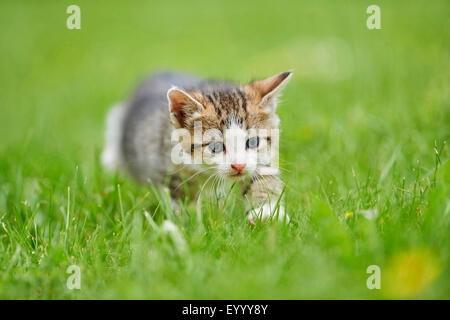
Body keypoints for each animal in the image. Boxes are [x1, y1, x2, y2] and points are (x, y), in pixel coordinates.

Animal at [102, 71, 292, 224]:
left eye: (253, 142)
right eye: (216, 147)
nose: (238, 166)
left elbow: (262, 176)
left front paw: (266, 212)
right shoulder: (166, 161)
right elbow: (179, 193)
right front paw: (189, 221)